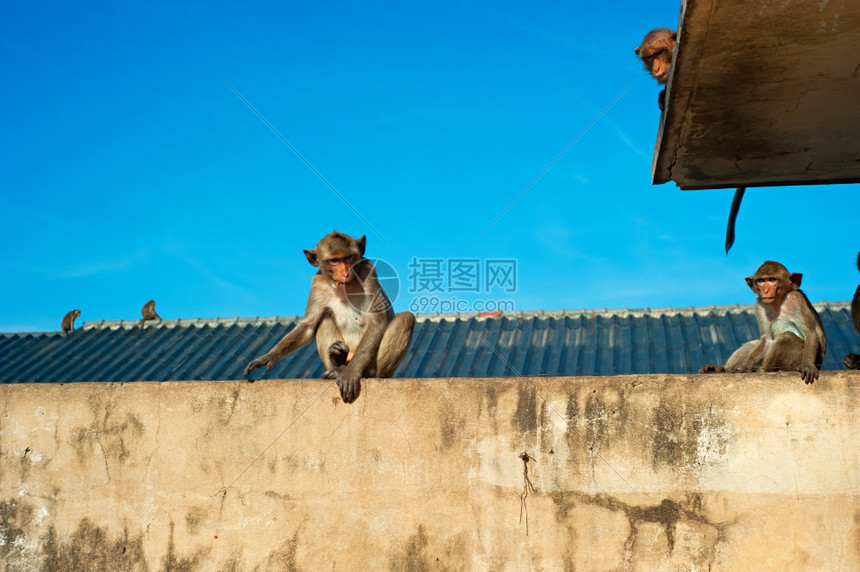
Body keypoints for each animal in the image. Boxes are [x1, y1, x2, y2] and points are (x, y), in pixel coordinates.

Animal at [242, 230, 416, 404]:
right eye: (334, 261)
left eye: (348, 257)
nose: (346, 272)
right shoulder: (318, 283)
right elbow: (308, 326)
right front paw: (267, 357)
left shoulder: (368, 273)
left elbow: (376, 323)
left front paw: (352, 373)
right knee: (324, 317)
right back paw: (336, 364)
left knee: (405, 318)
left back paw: (366, 374)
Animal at [700, 262, 828, 382]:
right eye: (761, 281)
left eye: (772, 280)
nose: (765, 291)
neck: (778, 302)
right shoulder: (761, 306)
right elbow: (767, 339)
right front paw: (746, 365)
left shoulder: (796, 299)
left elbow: (810, 333)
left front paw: (808, 366)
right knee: (755, 343)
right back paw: (720, 369)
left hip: (795, 362)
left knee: (787, 337)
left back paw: (763, 370)